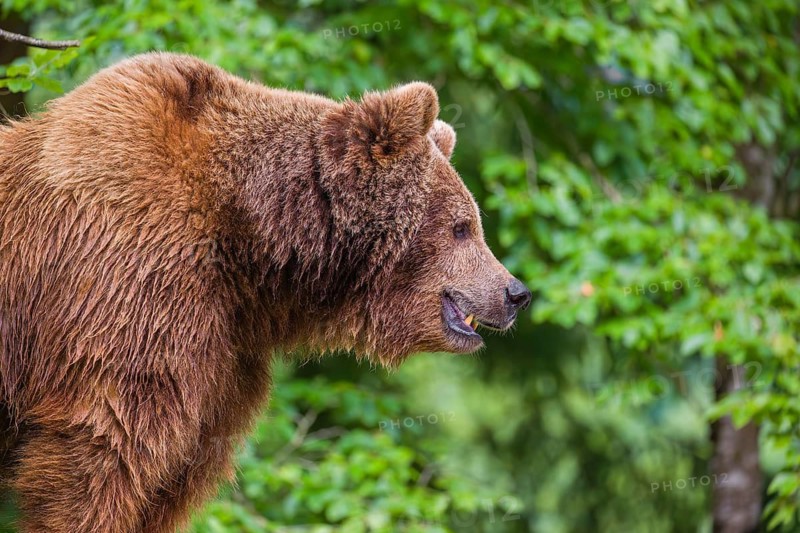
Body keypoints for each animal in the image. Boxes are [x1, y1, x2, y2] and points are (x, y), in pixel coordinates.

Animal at [0, 52, 530, 532]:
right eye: (463, 227)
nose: (515, 292)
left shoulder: (224, 359)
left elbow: (174, 476)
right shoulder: (130, 288)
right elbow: (102, 450)